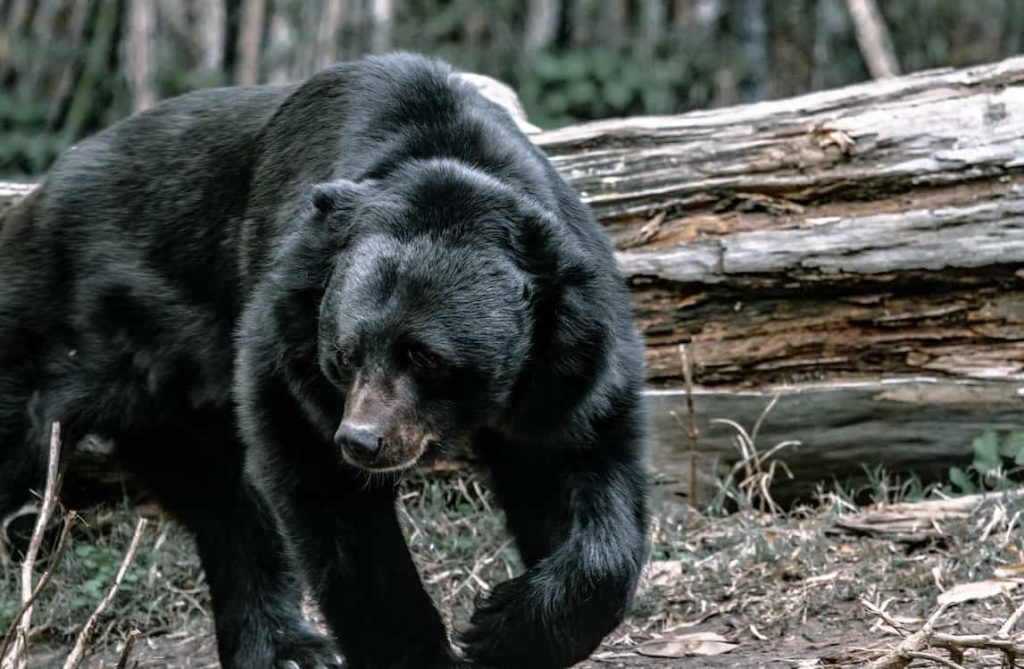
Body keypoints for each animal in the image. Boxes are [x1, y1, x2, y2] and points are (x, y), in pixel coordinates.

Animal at [0, 53, 647, 667]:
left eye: (427, 358)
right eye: (346, 354)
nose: (363, 441)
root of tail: (34, 200)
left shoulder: (567, 360)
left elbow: (581, 467)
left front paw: (504, 628)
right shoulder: (287, 335)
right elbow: (330, 500)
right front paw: (424, 651)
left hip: (169, 398)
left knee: (223, 503)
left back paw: (285, 647)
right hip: (51, 331)